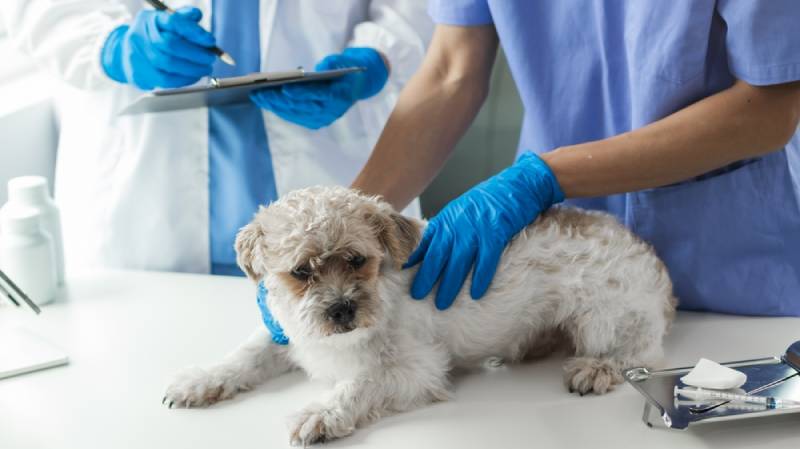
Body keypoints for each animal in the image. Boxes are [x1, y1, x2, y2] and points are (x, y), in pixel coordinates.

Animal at [162, 186, 676, 444]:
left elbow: (357, 386)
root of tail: (654, 261)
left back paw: (597, 367)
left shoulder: (416, 370)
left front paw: (320, 414)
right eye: (301, 272)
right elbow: (243, 356)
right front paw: (200, 382)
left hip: (603, 318)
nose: (342, 309)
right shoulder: (287, 337)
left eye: (357, 260)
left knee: (638, 352)